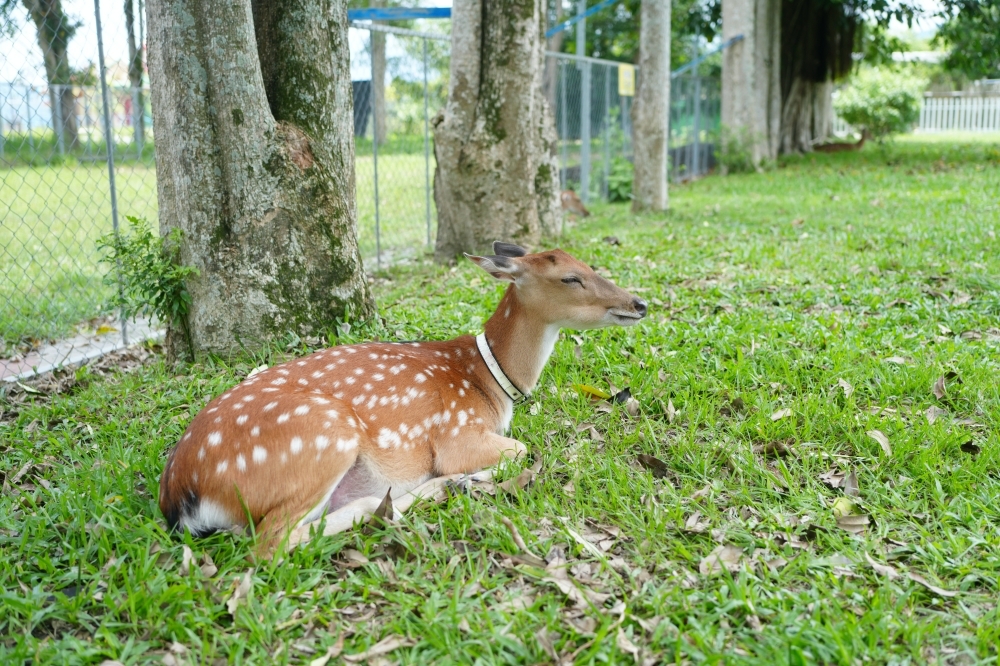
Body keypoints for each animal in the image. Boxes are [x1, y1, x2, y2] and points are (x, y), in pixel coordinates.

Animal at [158, 242, 647, 554]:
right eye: (570, 278)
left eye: (588, 265)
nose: (639, 303)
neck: (491, 381)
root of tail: (180, 496)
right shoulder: (456, 433)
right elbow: (521, 449)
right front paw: (464, 478)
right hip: (322, 437)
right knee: (271, 543)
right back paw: (412, 495)